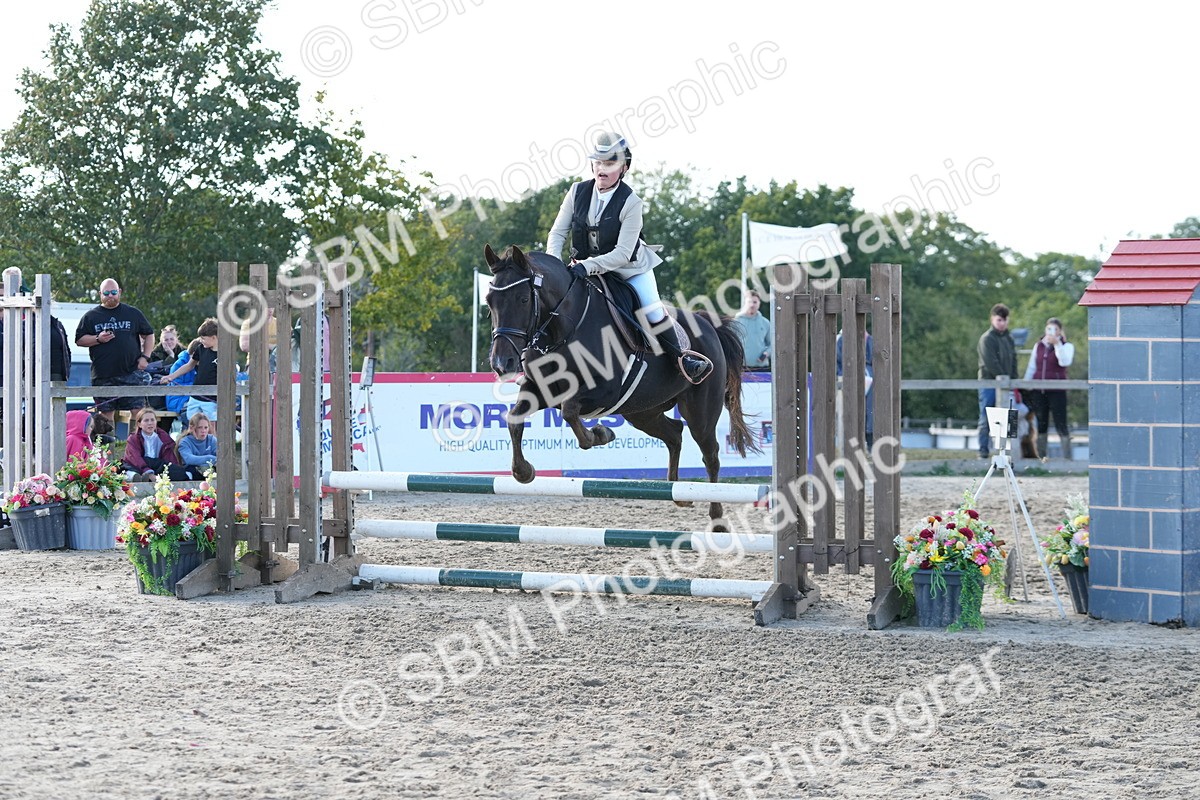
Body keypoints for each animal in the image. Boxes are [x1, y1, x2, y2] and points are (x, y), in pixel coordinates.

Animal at [483, 244, 759, 530]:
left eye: (523, 300)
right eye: (489, 302)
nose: (502, 363)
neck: (564, 330)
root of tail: (710, 325)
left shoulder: (604, 392)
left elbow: (569, 411)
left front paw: (601, 434)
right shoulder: (541, 390)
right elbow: (514, 418)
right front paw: (523, 472)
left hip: (700, 412)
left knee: (710, 454)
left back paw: (716, 518)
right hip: (642, 411)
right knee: (674, 433)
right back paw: (679, 494)